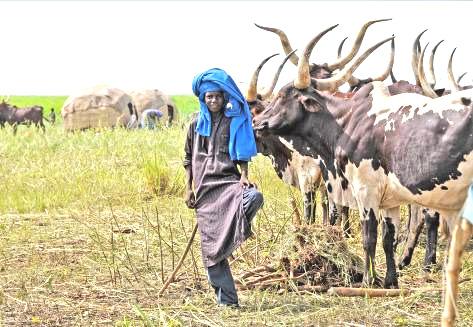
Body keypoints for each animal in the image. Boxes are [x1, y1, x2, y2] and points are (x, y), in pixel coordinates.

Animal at [253, 30, 472, 326]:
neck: (346, 123)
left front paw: (368, 280)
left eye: (284, 95)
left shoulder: (363, 190)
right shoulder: (389, 201)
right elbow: (387, 239)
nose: (257, 123)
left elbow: (368, 236)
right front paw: (390, 281)